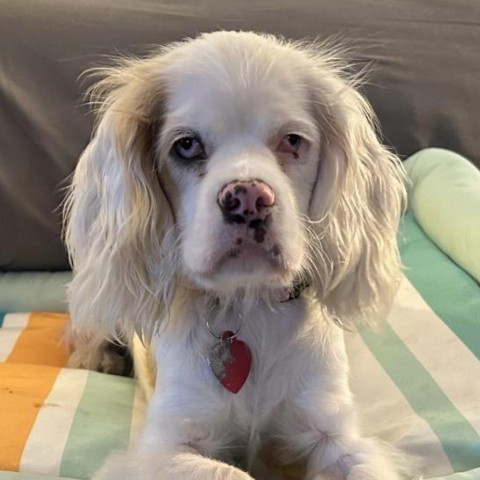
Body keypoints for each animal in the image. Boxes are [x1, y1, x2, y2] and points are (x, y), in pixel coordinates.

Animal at [63, 31, 406, 480]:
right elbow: (230, 472)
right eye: (186, 145)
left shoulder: (333, 431)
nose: (248, 198)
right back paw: (96, 357)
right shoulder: (160, 448)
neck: (249, 305)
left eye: (292, 141)